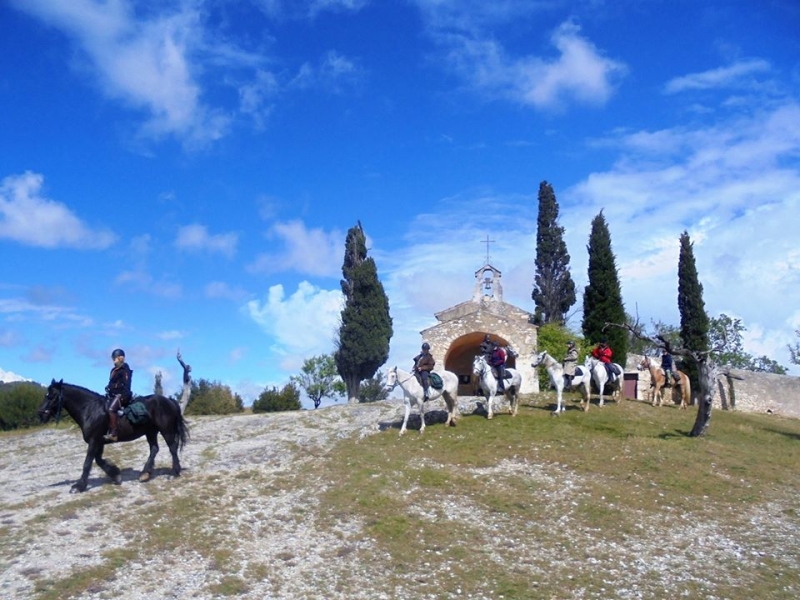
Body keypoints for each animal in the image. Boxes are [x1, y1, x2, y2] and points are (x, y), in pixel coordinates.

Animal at [38, 380, 189, 492]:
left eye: (52, 396)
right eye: (46, 395)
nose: (40, 414)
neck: (90, 410)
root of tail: (169, 401)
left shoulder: (94, 440)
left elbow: (87, 462)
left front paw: (79, 486)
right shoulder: (99, 442)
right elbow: (98, 460)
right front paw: (115, 475)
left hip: (166, 430)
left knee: (172, 448)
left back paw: (174, 472)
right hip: (150, 432)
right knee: (154, 449)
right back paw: (145, 474)